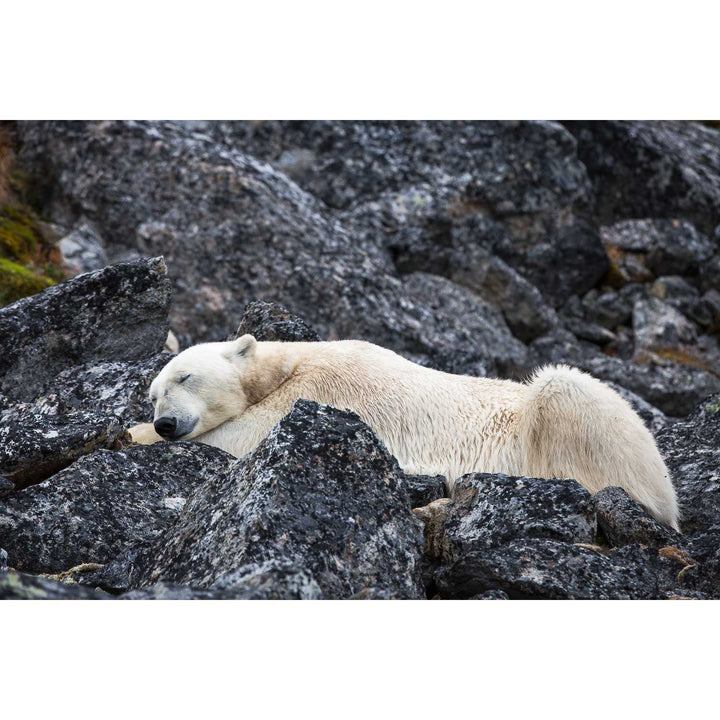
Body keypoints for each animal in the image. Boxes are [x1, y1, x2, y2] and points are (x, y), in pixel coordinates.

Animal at [131, 334, 680, 532]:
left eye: (185, 377)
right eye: (154, 394)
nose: (165, 421)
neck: (290, 363)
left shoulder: (322, 389)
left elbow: (245, 435)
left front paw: (133, 435)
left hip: (591, 423)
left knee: (562, 395)